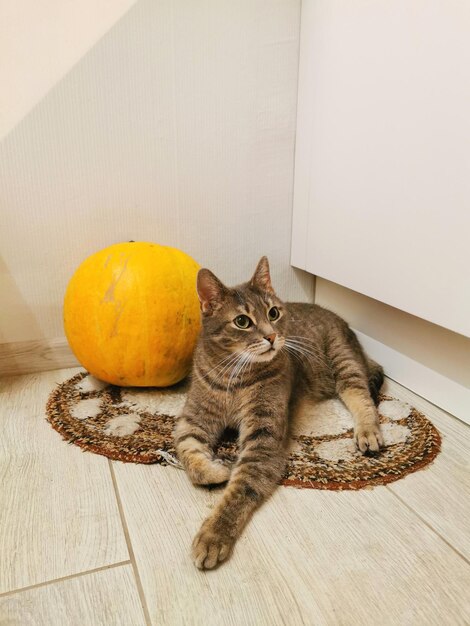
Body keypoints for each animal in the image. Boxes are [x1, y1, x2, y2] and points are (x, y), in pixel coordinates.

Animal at [174, 256, 384, 568]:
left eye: (273, 313)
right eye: (242, 321)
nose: (272, 336)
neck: (234, 376)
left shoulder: (264, 437)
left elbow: (241, 488)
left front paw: (214, 535)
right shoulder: (193, 419)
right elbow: (187, 453)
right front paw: (215, 470)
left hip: (343, 361)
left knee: (361, 396)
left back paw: (368, 432)